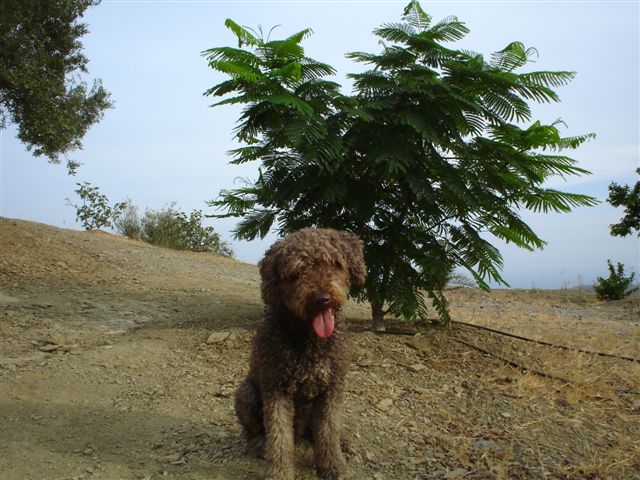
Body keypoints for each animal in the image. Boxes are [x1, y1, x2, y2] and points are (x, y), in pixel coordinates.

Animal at [234, 228, 364, 480]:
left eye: (334, 263)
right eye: (297, 272)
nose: (322, 299)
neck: (310, 339)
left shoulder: (332, 388)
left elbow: (329, 431)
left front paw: (333, 466)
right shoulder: (276, 389)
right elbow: (279, 438)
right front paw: (279, 473)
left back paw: (343, 440)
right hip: (246, 392)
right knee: (252, 431)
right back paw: (258, 443)